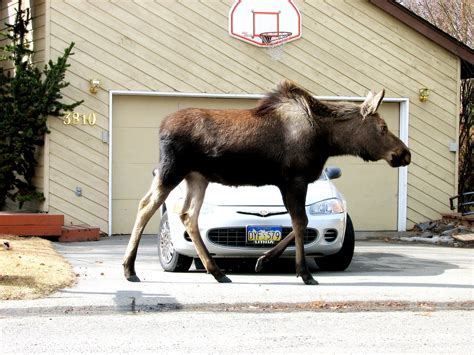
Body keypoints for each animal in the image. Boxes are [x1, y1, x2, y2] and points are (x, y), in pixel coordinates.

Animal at [124, 80, 410, 286]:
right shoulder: (295, 179)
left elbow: (298, 223)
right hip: (172, 170)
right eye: (383, 127)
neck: (327, 140)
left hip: (198, 177)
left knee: (188, 215)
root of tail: (161, 127)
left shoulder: (288, 182)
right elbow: (300, 221)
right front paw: (304, 273)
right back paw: (129, 269)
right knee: (146, 205)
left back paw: (217, 272)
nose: (404, 153)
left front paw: (263, 259)